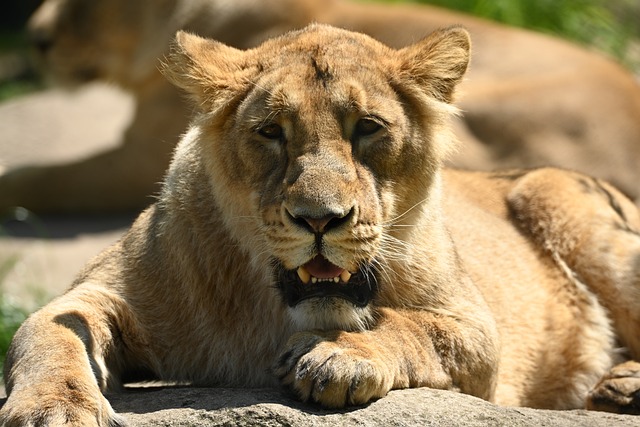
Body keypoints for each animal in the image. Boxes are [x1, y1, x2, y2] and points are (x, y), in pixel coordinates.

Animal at [1, 24, 640, 427]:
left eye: (368, 128)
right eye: (270, 132)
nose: (319, 219)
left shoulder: (479, 335)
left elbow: (414, 328)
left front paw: (339, 356)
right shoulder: (108, 286)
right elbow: (48, 329)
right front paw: (52, 409)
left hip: (561, 201)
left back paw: (621, 384)